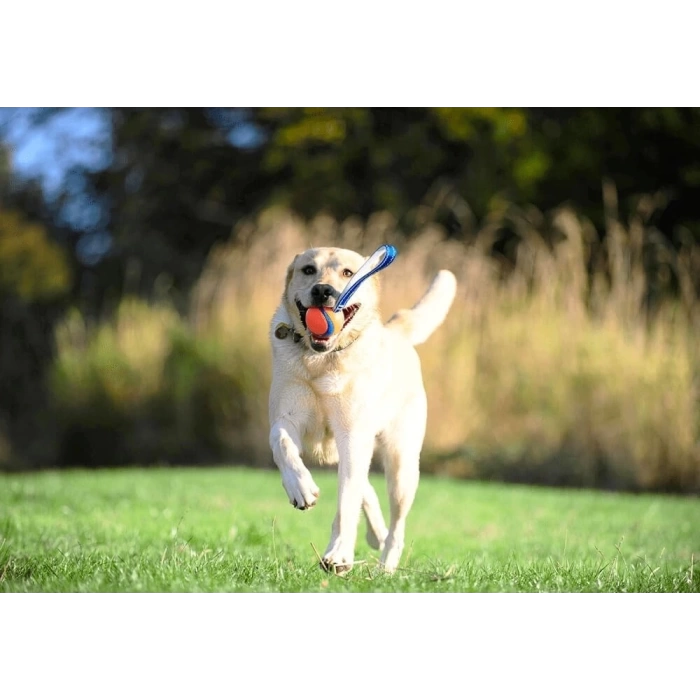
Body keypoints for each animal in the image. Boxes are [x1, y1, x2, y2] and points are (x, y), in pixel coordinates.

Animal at [266, 249, 454, 572]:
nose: (323, 291)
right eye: (308, 269)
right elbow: (282, 442)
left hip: (401, 465)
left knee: (396, 525)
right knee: (366, 487)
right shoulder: (287, 418)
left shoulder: (353, 435)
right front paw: (300, 488)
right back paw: (376, 533)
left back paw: (386, 567)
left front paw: (338, 555)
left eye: (347, 272)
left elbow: (346, 503)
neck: (322, 360)